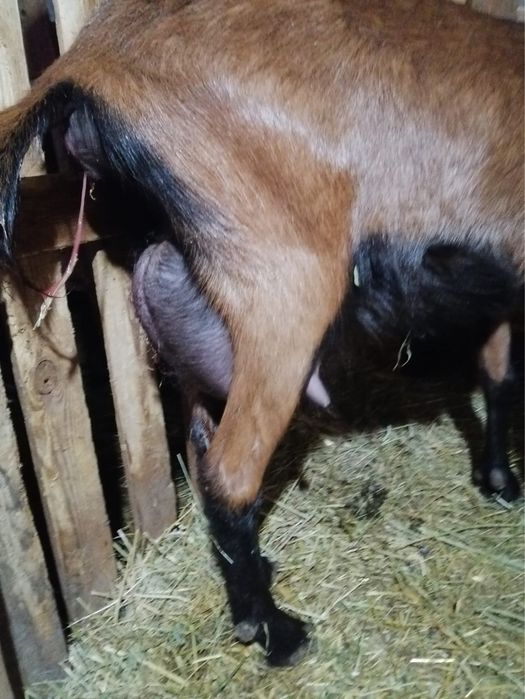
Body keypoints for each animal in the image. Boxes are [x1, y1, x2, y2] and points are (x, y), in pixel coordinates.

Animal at [0, 0, 523, 666]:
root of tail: (84, 64)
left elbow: (499, 370)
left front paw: (498, 480)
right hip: (287, 287)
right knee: (230, 473)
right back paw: (274, 630)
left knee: (202, 442)